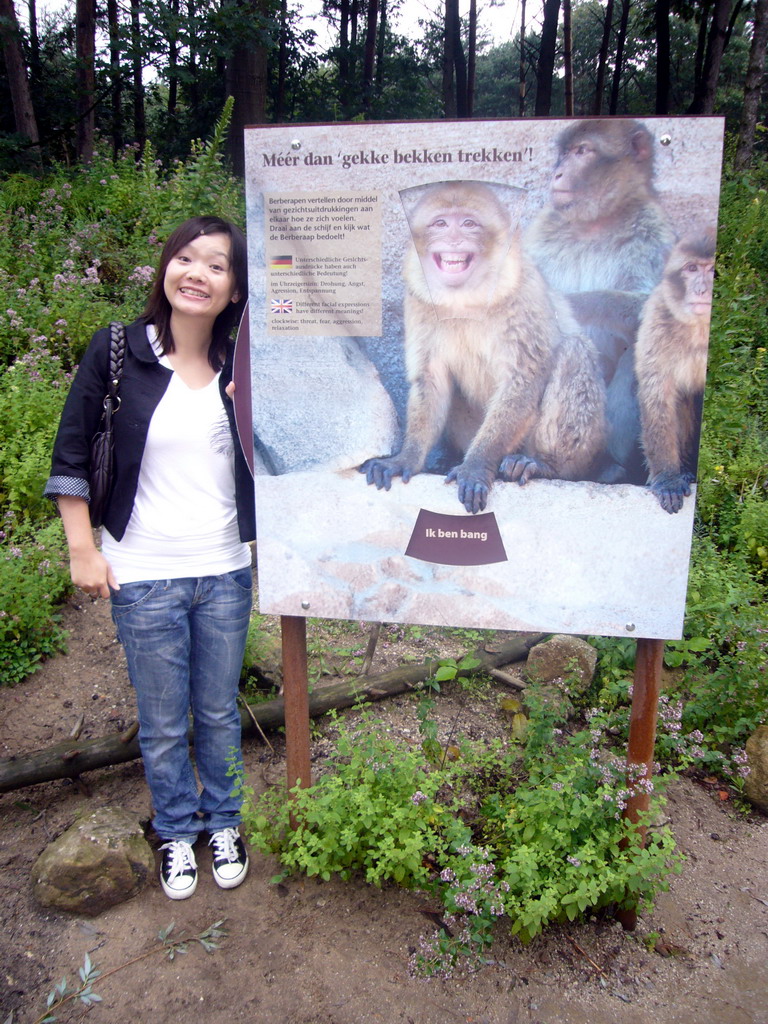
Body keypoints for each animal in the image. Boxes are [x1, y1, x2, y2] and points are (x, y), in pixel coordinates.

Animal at [360, 181, 606, 516]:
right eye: (440, 223)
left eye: (469, 223)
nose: (454, 238)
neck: (464, 298)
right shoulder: (418, 302)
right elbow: (431, 379)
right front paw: (406, 458)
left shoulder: (521, 291)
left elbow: (523, 377)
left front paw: (476, 465)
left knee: (574, 351)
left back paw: (543, 465)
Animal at [528, 117, 675, 485]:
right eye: (565, 152)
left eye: (582, 151)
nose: (558, 173)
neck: (595, 223)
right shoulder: (544, 229)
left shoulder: (654, 231)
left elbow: (660, 311)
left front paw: (571, 303)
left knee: (638, 353)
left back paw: (608, 466)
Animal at [634, 236, 720, 516]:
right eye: (691, 268)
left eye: (712, 270)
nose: (703, 290)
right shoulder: (657, 318)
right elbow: (658, 397)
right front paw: (669, 479)